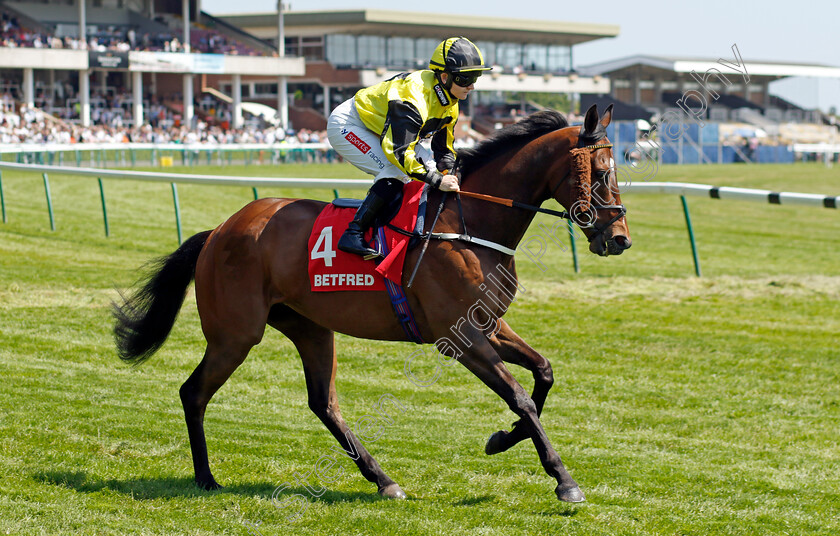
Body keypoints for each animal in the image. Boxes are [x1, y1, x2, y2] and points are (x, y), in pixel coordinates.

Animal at [115, 102, 632, 504]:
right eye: (602, 173)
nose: (620, 239)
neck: (469, 223)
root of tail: (219, 230)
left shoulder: (487, 325)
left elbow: (543, 374)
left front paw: (502, 439)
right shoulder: (460, 337)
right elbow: (522, 397)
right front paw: (563, 479)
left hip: (309, 327)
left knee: (323, 403)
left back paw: (384, 480)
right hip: (236, 334)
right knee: (194, 392)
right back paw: (206, 477)